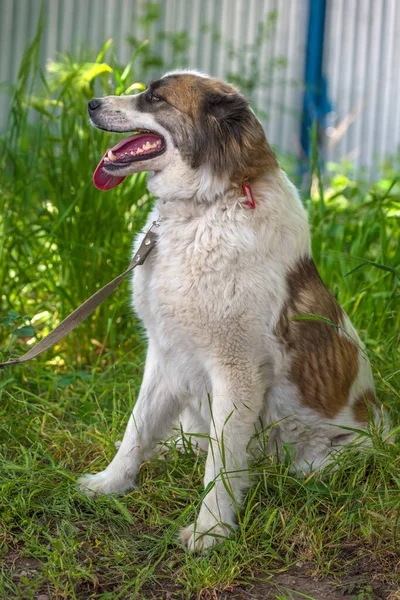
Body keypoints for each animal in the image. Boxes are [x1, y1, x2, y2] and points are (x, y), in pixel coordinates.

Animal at [79, 71, 384, 552]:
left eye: (155, 97)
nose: (91, 103)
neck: (205, 207)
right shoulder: (164, 355)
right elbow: (136, 428)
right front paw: (111, 484)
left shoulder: (236, 371)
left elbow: (221, 464)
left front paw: (210, 531)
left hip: (328, 456)